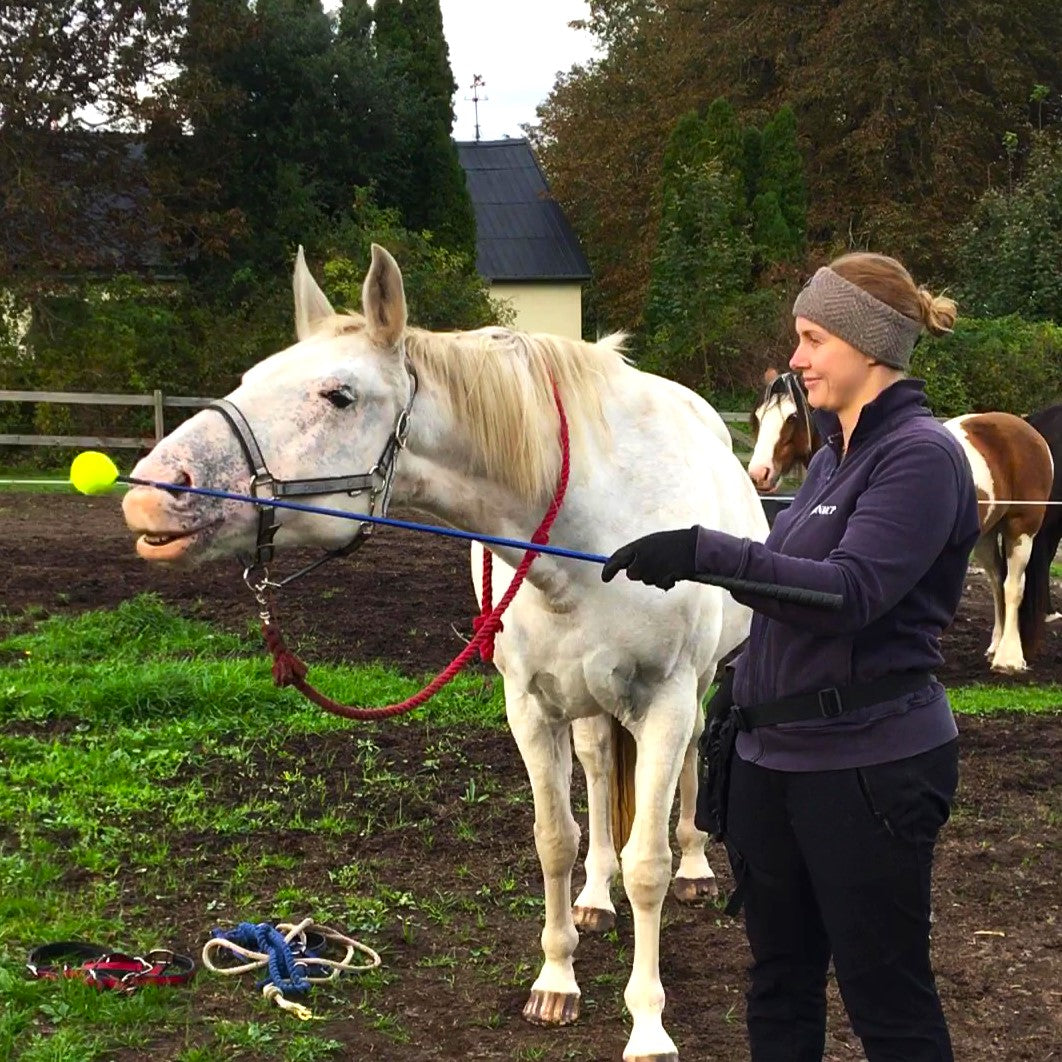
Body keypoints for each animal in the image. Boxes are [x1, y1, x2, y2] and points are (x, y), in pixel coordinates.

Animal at [124, 244, 768, 1057]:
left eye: (339, 395)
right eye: (249, 379)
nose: (149, 492)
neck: (595, 535)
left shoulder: (667, 699)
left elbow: (646, 865)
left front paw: (648, 1024)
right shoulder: (530, 703)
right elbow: (554, 840)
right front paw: (556, 979)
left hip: (700, 683)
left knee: (685, 770)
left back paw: (694, 863)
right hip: (590, 702)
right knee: (596, 771)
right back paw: (594, 897)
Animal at [747, 371, 1053, 671]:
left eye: (792, 417)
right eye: (759, 416)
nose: (758, 473)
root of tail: (1027, 430)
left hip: (1021, 529)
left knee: (1012, 587)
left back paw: (1009, 659)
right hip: (986, 537)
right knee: (997, 581)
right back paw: (995, 646)